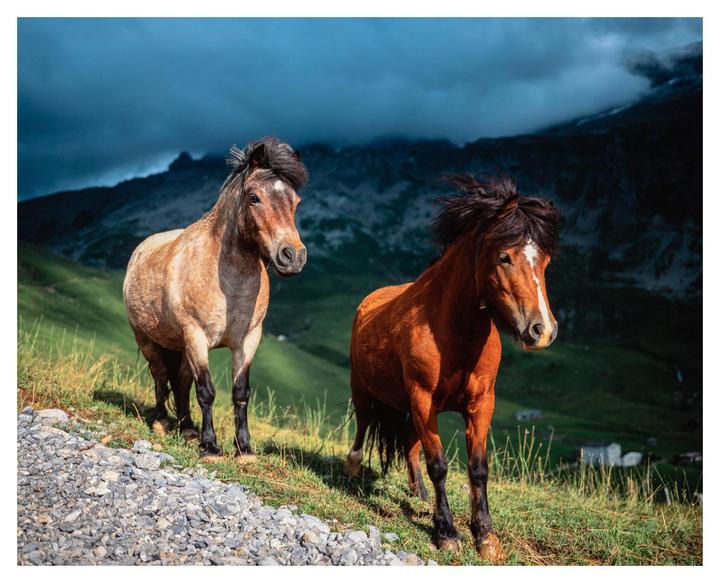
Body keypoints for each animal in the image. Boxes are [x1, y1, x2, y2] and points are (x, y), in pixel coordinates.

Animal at [123, 136, 308, 461]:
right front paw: (210, 447)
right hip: (148, 339)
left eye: (295, 201)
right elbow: (206, 391)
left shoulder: (248, 341)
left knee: (181, 382)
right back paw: (161, 423)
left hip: (180, 346)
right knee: (160, 375)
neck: (227, 284)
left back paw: (187, 428)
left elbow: (240, 393)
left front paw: (244, 448)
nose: (293, 256)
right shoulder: (196, 336)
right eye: (254, 197)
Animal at [345, 174, 561, 562]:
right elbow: (440, 465)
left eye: (546, 262)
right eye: (504, 257)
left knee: (410, 446)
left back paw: (419, 495)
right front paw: (446, 532)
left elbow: (477, 469)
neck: (454, 332)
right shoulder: (423, 400)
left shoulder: (481, 404)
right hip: (364, 390)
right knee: (363, 427)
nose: (542, 330)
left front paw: (485, 536)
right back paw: (352, 472)